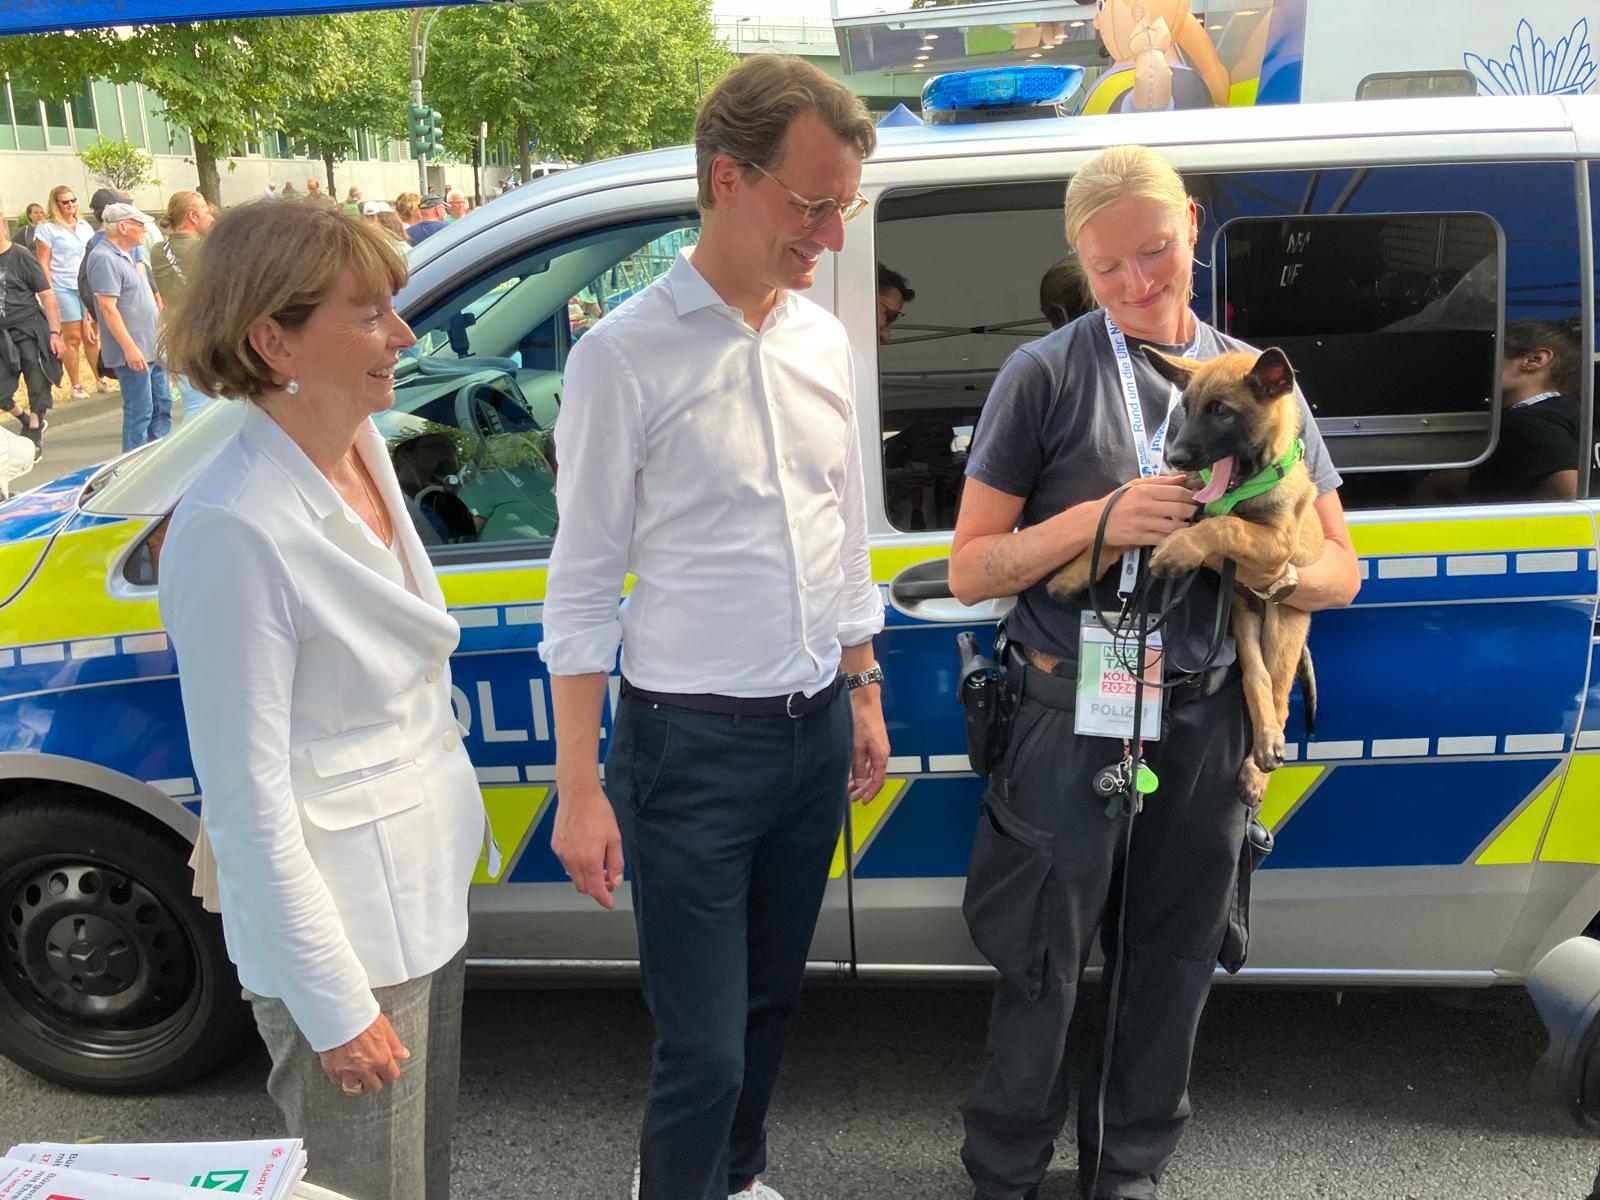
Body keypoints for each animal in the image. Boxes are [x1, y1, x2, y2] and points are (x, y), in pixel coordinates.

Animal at [1043, 347, 1318, 809]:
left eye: (1221, 411)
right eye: (1186, 409)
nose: (1175, 458)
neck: (1238, 488)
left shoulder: (1276, 542)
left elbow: (1224, 526)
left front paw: (1180, 549)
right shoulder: (1174, 499)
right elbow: (1119, 530)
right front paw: (1073, 573)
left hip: (1284, 625)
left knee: (1279, 697)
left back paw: (1258, 764)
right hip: (1242, 620)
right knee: (1257, 679)